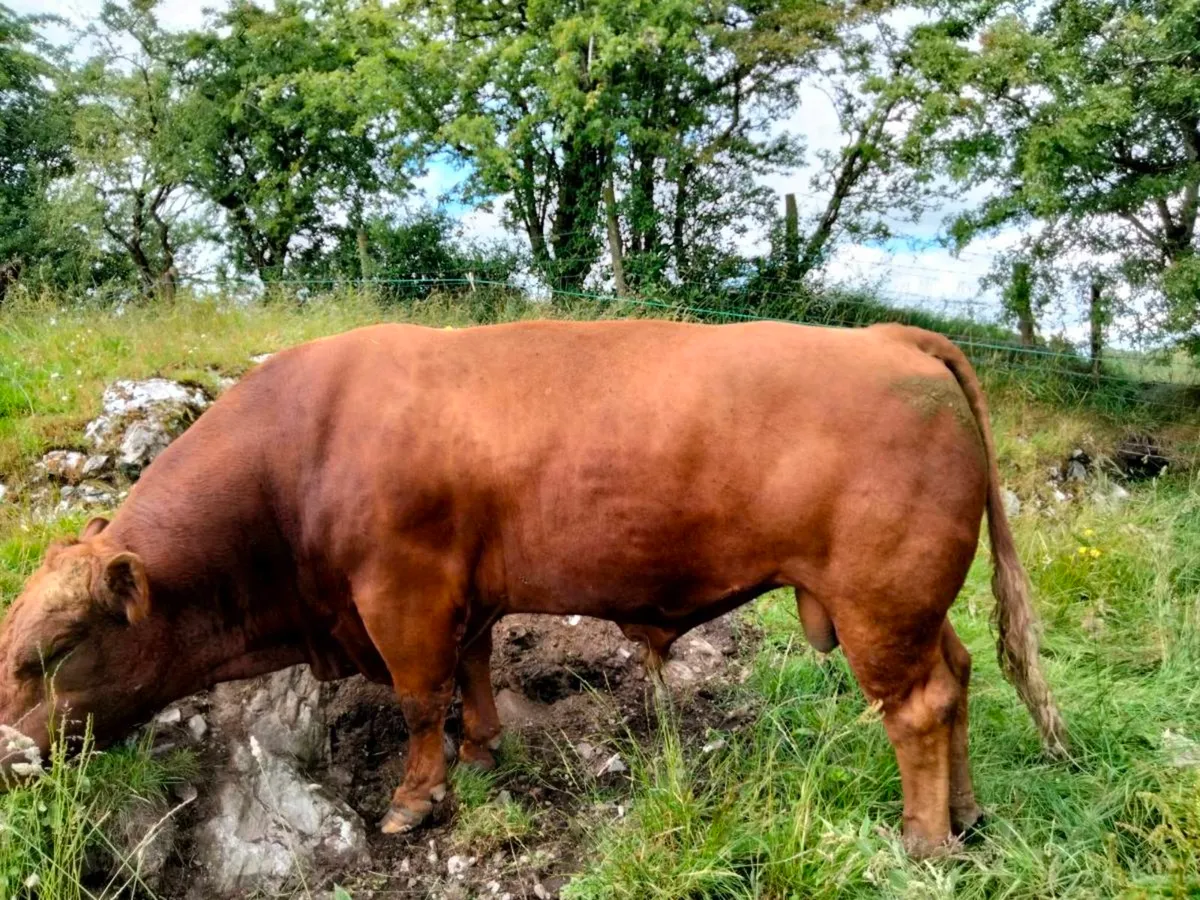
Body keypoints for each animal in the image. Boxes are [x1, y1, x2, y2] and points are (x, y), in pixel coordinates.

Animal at [0, 319, 1068, 858]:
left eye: (50, 652)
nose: (9, 758)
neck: (299, 451)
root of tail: (889, 337)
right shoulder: (462, 594)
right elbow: (471, 675)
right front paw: (481, 753)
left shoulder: (402, 595)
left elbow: (419, 699)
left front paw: (415, 799)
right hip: (916, 607)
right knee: (960, 680)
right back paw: (969, 817)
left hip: (879, 605)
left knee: (919, 708)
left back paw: (925, 840)